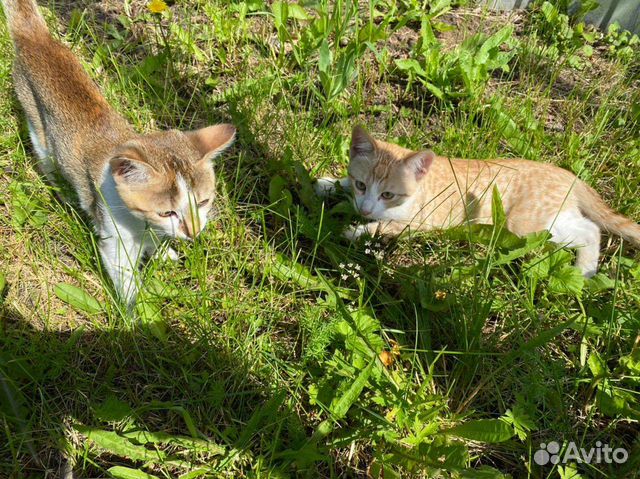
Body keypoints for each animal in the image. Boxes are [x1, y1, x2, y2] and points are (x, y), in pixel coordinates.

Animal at [2, 0, 235, 306]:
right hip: (38, 130)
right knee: (46, 161)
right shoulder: (114, 244)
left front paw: (164, 252)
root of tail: (35, 37)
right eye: (166, 212)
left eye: (204, 201)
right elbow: (127, 283)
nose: (194, 232)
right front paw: (136, 313)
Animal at [316, 125, 640, 280]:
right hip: (553, 218)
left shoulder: (421, 223)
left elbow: (386, 226)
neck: (421, 186)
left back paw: (584, 270)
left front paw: (355, 231)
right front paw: (327, 184)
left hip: (528, 226)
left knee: (590, 231)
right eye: (361, 185)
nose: (364, 209)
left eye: (388, 195)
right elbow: (340, 187)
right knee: (589, 228)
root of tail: (568, 174)